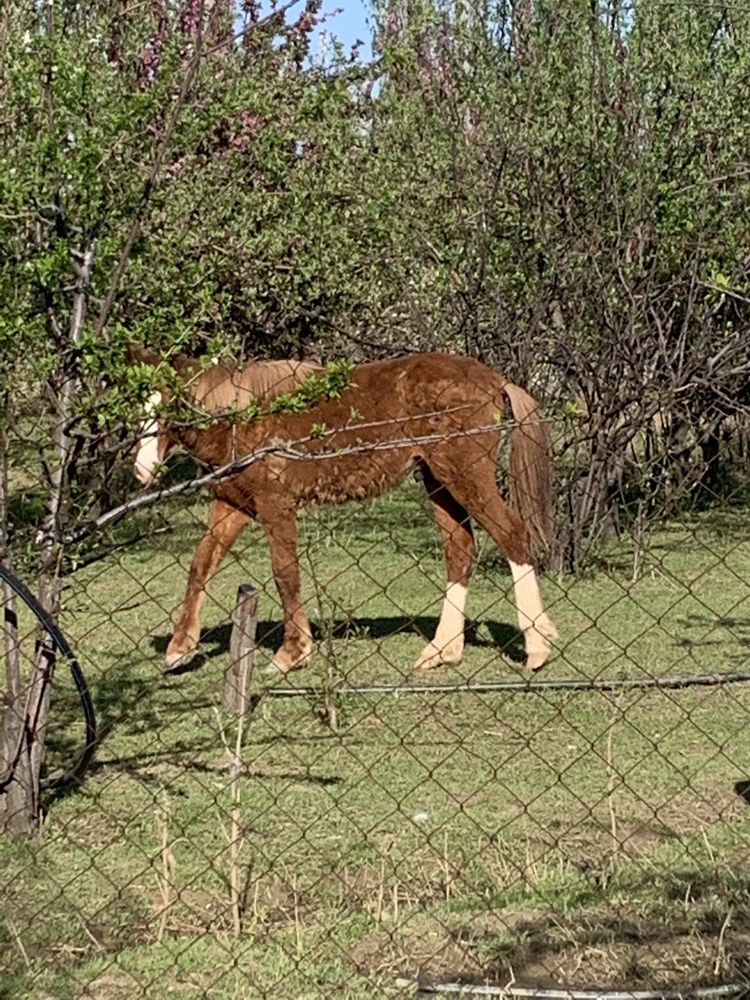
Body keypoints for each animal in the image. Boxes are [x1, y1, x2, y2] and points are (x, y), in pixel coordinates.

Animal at [131, 350, 560, 672]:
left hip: (465, 476)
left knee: (512, 535)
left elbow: (285, 574)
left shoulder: (275, 506)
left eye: (174, 406)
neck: (244, 419)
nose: (142, 470)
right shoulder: (233, 506)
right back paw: (442, 651)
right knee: (460, 550)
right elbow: (201, 565)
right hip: (438, 482)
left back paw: (537, 647)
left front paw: (292, 654)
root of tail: (495, 380)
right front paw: (179, 648)